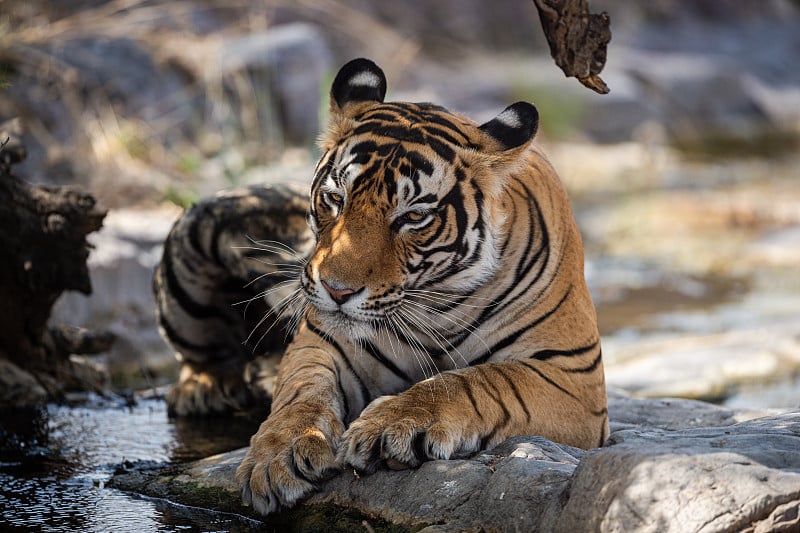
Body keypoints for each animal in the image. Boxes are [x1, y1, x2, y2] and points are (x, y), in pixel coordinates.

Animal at [155, 57, 608, 512]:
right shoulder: (323, 343)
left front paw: (394, 427)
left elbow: (478, 381)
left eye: (413, 217)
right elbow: (301, 392)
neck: (437, 305)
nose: (337, 291)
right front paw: (277, 456)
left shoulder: (572, 376)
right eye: (335, 199)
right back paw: (207, 390)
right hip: (194, 232)